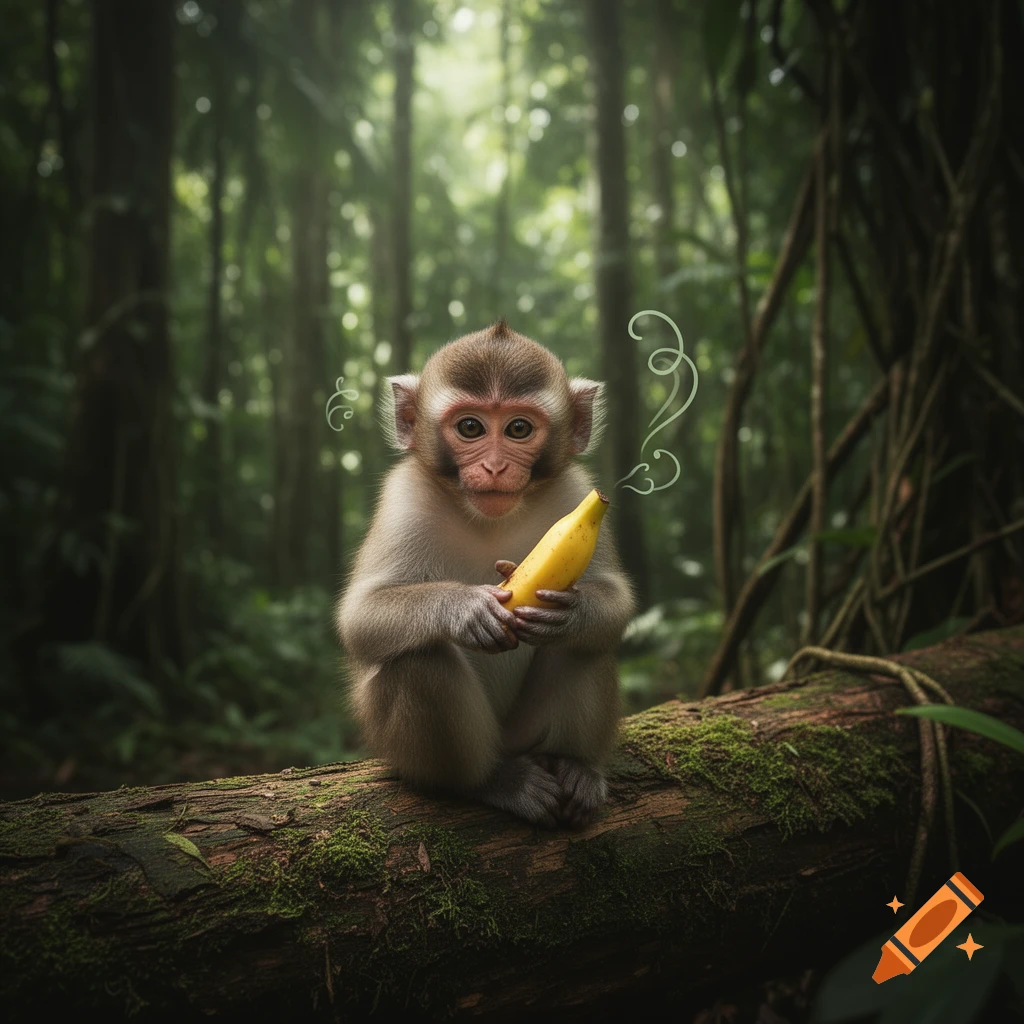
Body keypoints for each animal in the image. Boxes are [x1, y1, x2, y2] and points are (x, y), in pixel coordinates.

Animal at [336, 320, 636, 828]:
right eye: (470, 427)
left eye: (518, 428)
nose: (495, 467)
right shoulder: (403, 498)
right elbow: (360, 618)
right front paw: (463, 607)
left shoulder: (576, 490)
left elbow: (615, 599)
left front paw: (571, 613)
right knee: (419, 659)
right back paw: (492, 783)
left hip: (527, 729)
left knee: (587, 647)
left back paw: (575, 767)